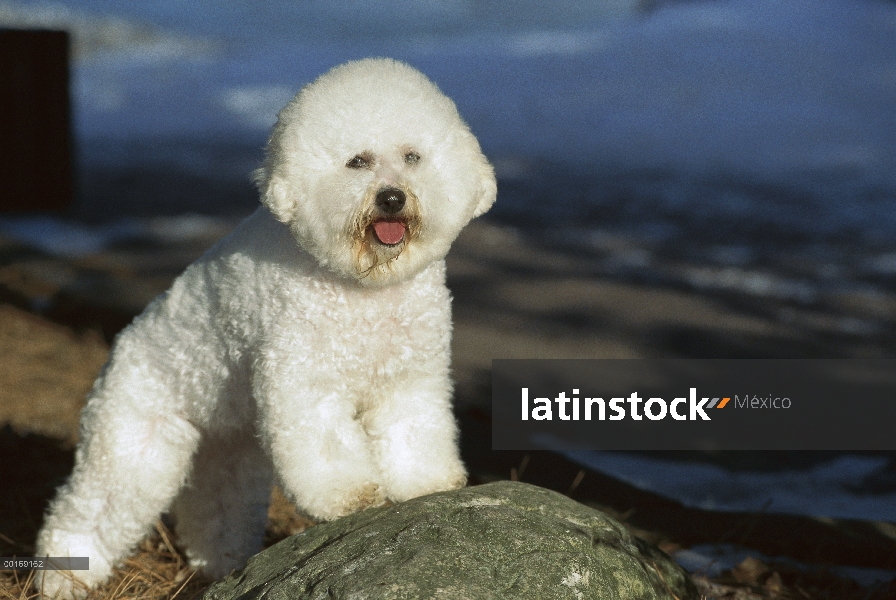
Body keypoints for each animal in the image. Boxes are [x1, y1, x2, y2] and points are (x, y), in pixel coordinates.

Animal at [36, 57, 496, 596]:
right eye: (357, 161)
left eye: (412, 157)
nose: (391, 198)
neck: (364, 286)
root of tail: (119, 345)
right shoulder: (305, 382)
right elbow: (327, 449)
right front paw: (350, 496)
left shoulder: (409, 377)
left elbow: (413, 432)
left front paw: (426, 483)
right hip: (134, 445)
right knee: (93, 506)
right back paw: (63, 578)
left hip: (228, 452)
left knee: (215, 511)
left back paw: (221, 565)